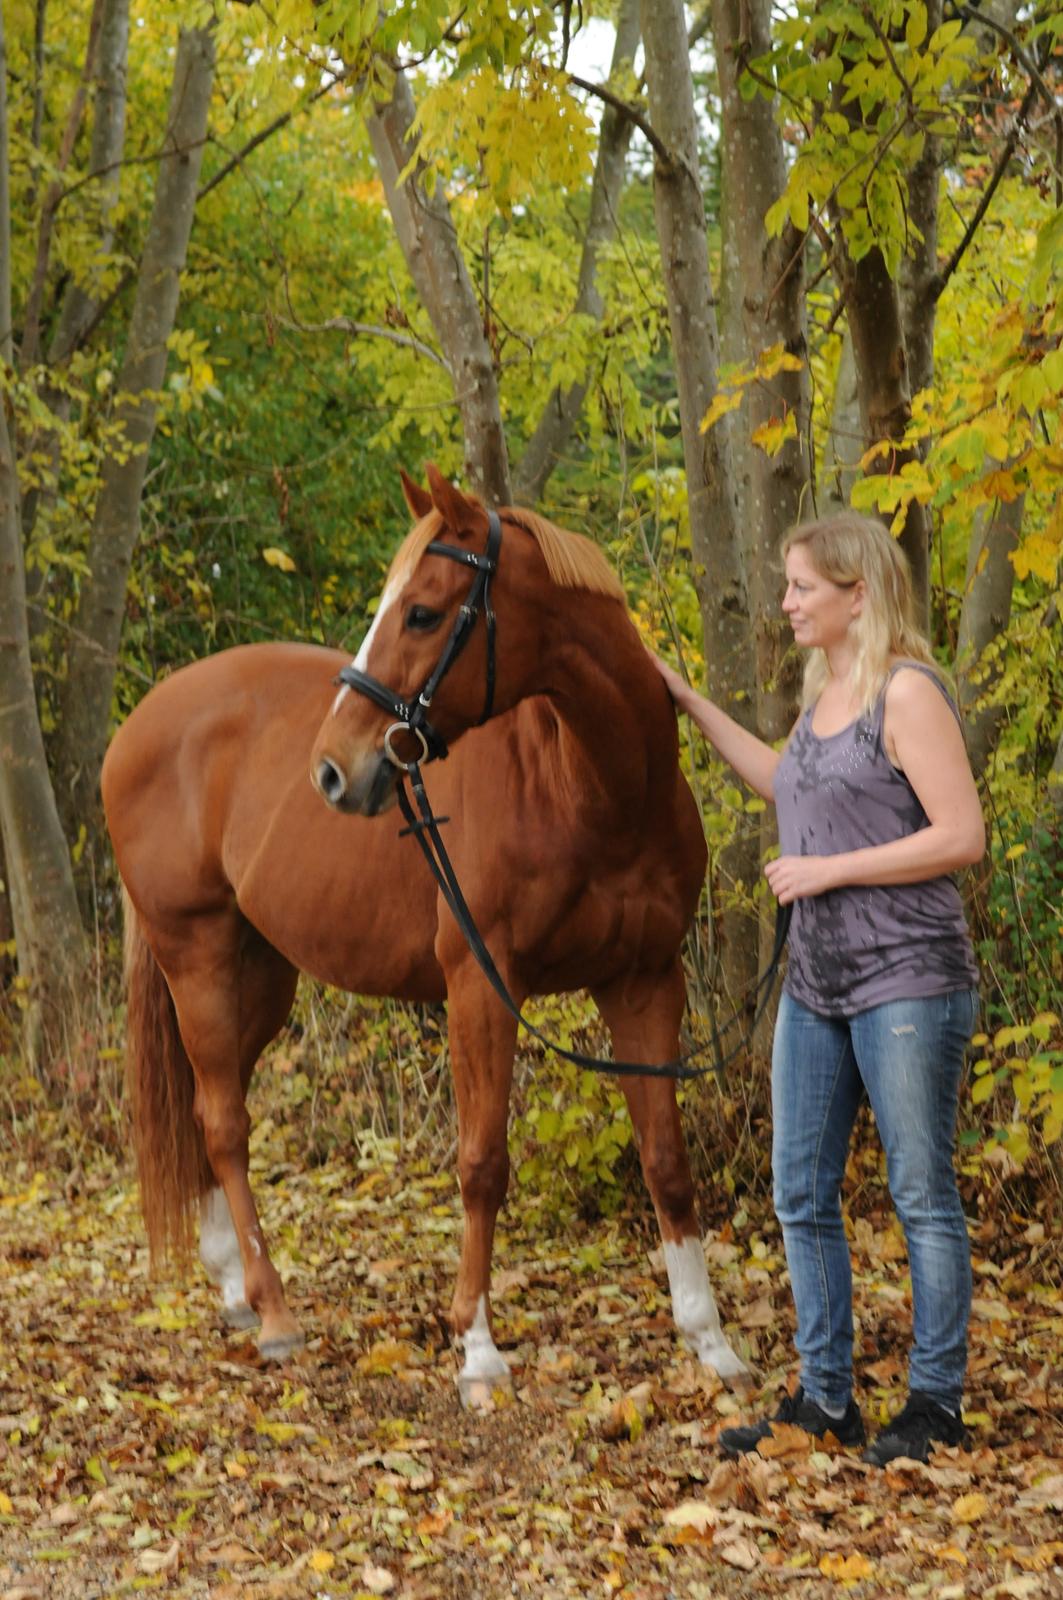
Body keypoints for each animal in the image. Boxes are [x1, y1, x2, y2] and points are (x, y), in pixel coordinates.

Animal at [99, 464, 746, 1401]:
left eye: (421, 613)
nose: (335, 771)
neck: (587, 789)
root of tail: (138, 725)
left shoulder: (647, 980)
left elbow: (665, 1157)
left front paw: (708, 1339)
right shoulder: (480, 985)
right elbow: (481, 1162)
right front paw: (475, 1345)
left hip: (261, 975)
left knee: (200, 1109)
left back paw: (230, 1283)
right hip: (199, 958)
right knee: (223, 1123)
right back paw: (274, 1310)